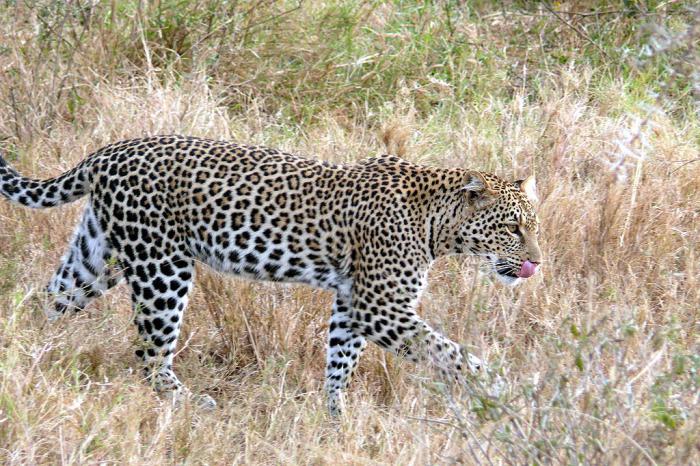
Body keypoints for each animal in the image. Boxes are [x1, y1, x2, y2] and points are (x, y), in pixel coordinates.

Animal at [0, 135, 540, 416]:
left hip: (97, 257)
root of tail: (109, 151)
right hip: (162, 267)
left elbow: (340, 361)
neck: (438, 224)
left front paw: (335, 418)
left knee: (46, 300)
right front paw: (504, 392)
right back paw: (192, 404)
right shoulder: (381, 307)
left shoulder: (352, 303)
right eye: (512, 228)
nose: (536, 263)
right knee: (150, 355)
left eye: (533, 227)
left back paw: (26, 357)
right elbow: (449, 353)